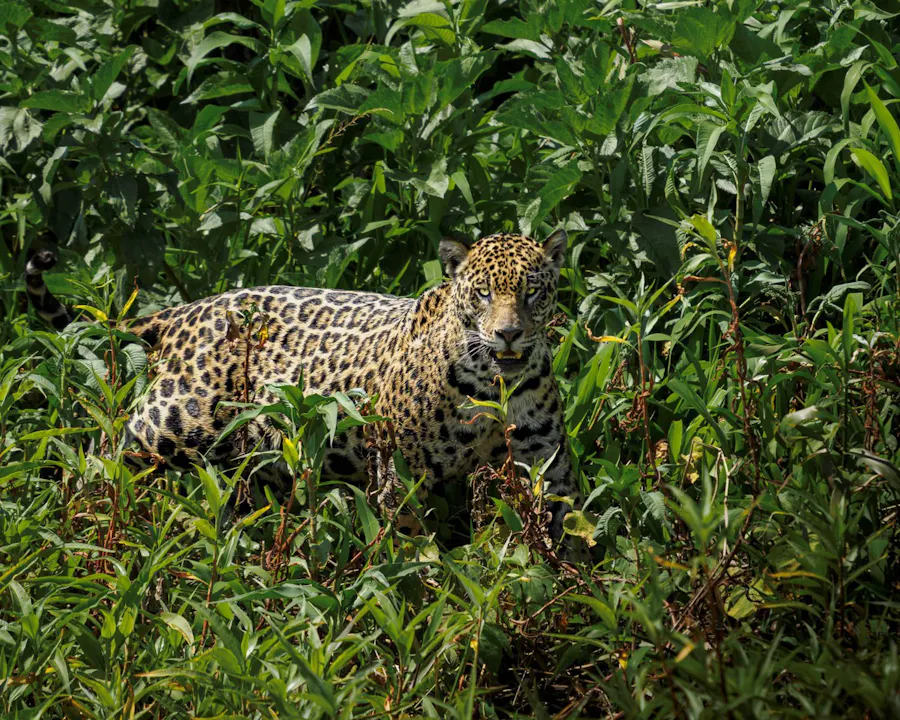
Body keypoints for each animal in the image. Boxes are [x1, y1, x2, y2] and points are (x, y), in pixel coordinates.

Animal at [26, 230, 578, 539]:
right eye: (483, 293)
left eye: (532, 292)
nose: (508, 334)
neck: (491, 389)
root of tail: (189, 309)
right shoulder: (400, 472)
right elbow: (408, 542)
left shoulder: (545, 459)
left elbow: (565, 522)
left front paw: (567, 592)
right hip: (174, 421)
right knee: (104, 449)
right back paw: (79, 513)